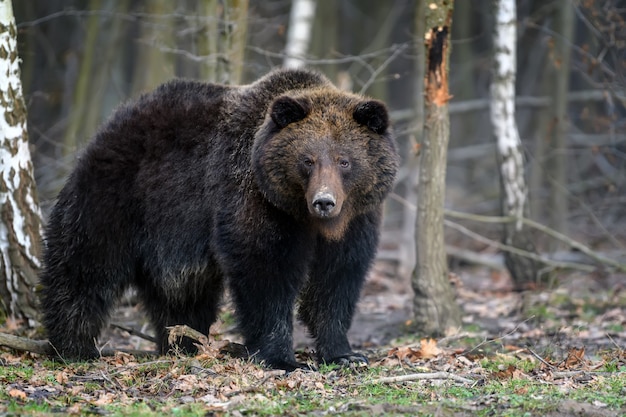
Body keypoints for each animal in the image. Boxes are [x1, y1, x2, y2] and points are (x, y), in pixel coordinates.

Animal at [39, 68, 398, 370]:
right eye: (307, 160)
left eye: (344, 161)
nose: (324, 201)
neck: (306, 217)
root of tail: (115, 119)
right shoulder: (256, 201)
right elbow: (266, 270)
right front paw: (282, 358)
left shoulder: (356, 221)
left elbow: (336, 280)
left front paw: (345, 354)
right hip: (118, 196)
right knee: (84, 267)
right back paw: (73, 347)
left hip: (172, 237)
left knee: (183, 293)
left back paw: (182, 343)